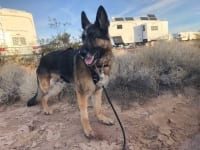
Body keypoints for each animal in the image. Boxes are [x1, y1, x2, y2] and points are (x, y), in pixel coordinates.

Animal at [27, 5, 113, 137]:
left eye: (93, 36)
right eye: (83, 38)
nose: (81, 53)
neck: (97, 65)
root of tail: (41, 58)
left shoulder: (98, 91)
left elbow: (98, 108)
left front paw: (102, 119)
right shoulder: (82, 94)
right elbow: (84, 115)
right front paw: (87, 130)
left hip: (57, 87)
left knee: (45, 97)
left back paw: (47, 109)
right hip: (46, 86)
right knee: (42, 97)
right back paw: (46, 110)